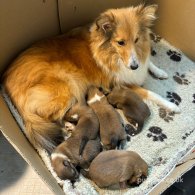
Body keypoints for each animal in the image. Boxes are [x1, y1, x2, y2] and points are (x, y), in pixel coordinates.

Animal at [2, 4, 180, 151]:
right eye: (120, 42)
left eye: (136, 39)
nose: (134, 66)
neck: (111, 54)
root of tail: (5, 82)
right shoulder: (122, 82)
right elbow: (151, 93)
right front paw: (172, 105)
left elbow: (148, 62)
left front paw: (160, 71)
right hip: (67, 85)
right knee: (54, 117)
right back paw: (69, 127)